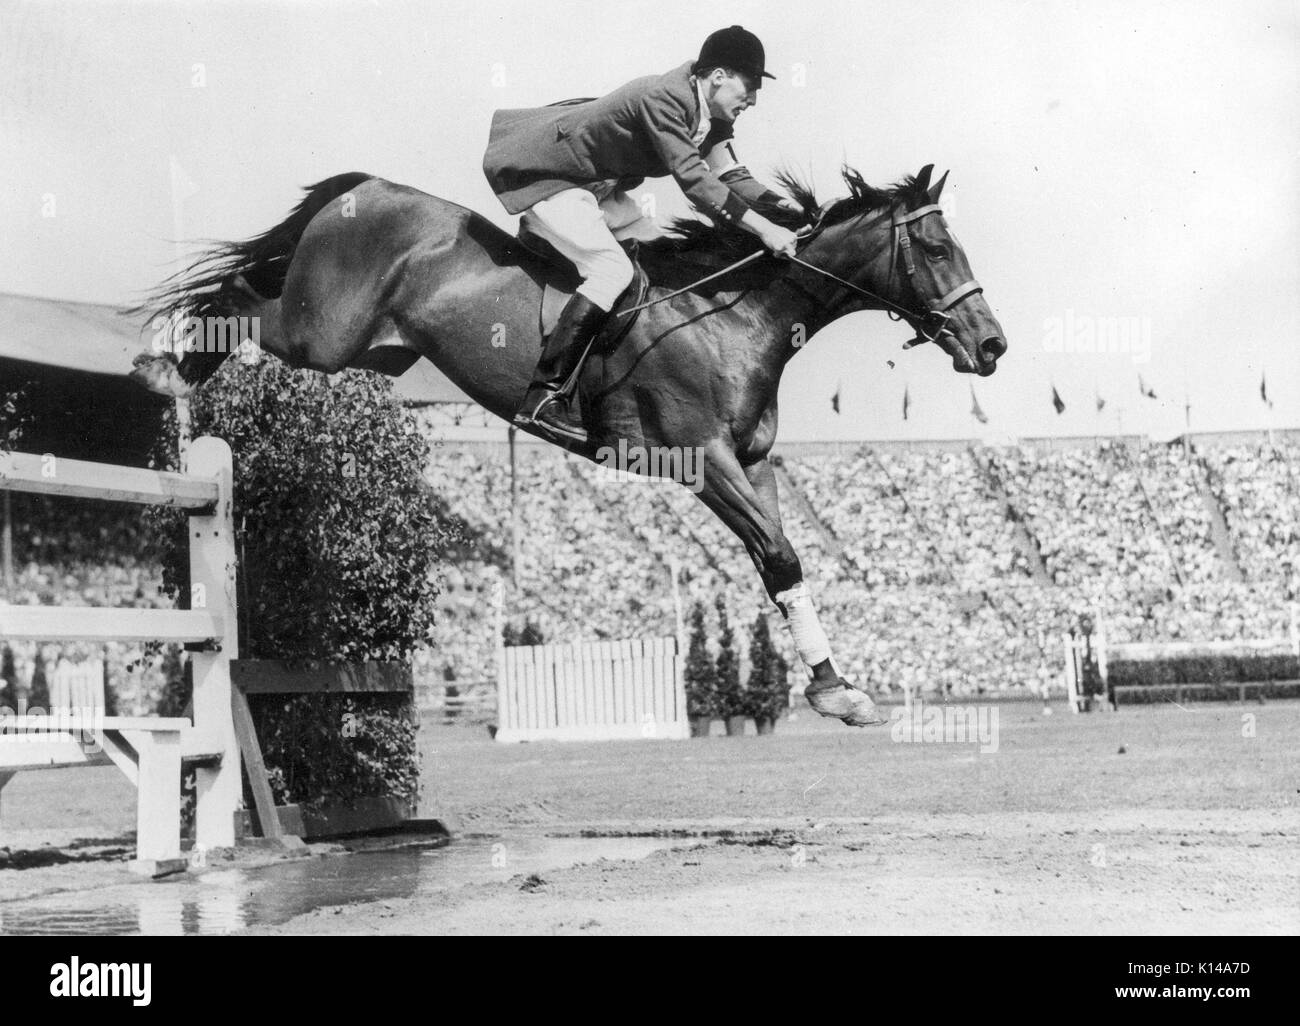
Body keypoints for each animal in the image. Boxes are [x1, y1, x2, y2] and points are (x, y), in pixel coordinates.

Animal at [129, 161, 1003, 723]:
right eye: (934, 249)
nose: (991, 345)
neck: (734, 316)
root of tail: (365, 187)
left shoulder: (753, 465)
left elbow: (780, 563)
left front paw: (834, 687)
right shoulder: (703, 462)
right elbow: (782, 556)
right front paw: (837, 690)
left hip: (379, 350)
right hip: (322, 333)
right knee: (242, 298)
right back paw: (163, 368)